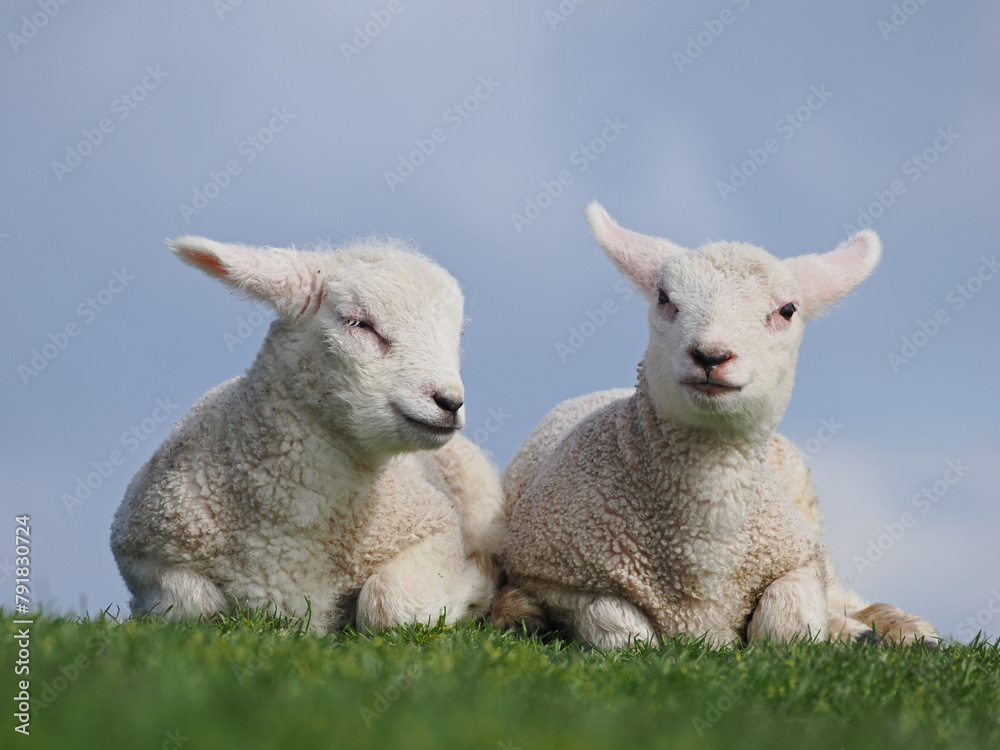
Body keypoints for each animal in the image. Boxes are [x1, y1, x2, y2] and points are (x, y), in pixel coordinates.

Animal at [110, 236, 505, 633]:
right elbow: (193, 604)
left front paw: (476, 585)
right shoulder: (139, 550)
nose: (450, 402)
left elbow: (389, 601)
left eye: (457, 336)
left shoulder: (435, 530)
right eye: (360, 323)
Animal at [492, 202, 938, 648]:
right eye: (663, 297)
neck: (704, 556)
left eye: (788, 310)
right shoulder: (553, 573)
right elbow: (619, 626)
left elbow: (788, 621)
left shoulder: (799, 556)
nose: (710, 355)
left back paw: (893, 627)